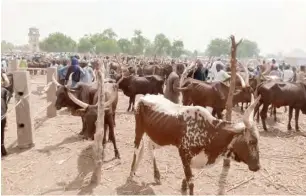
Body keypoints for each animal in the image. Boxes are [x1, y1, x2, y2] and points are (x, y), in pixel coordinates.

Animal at [128, 93, 262, 194]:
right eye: (252, 141)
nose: (257, 166)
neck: (208, 130)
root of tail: (145, 96)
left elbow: (188, 178)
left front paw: (183, 185)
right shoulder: (184, 154)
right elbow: (191, 182)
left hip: (156, 136)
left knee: (149, 148)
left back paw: (156, 175)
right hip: (139, 130)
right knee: (136, 149)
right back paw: (131, 173)